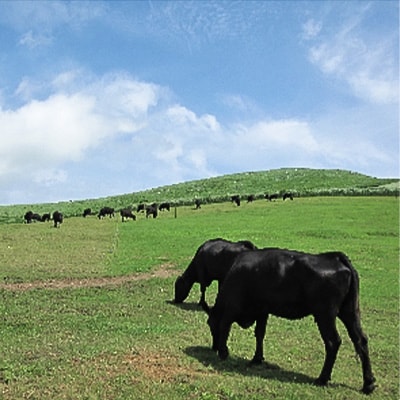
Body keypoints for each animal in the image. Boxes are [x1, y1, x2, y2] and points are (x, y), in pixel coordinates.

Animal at [203, 248, 376, 396]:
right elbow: (260, 333)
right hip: (350, 312)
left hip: (325, 314)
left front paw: (223, 352)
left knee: (333, 342)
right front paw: (257, 358)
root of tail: (334, 257)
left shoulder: (232, 307)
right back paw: (368, 384)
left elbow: (225, 326)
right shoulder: (263, 310)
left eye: (210, 324)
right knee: (360, 340)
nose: (213, 347)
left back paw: (322, 379)